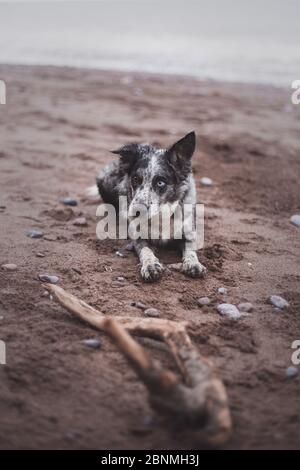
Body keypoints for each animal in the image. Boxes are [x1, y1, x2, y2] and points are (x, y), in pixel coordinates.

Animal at [91, 130, 206, 280]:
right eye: (135, 179)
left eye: (160, 182)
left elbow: (190, 249)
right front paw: (150, 266)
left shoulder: (187, 231)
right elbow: (145, 250)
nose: (136, 212)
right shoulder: (138, 236)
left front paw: (193, 264)